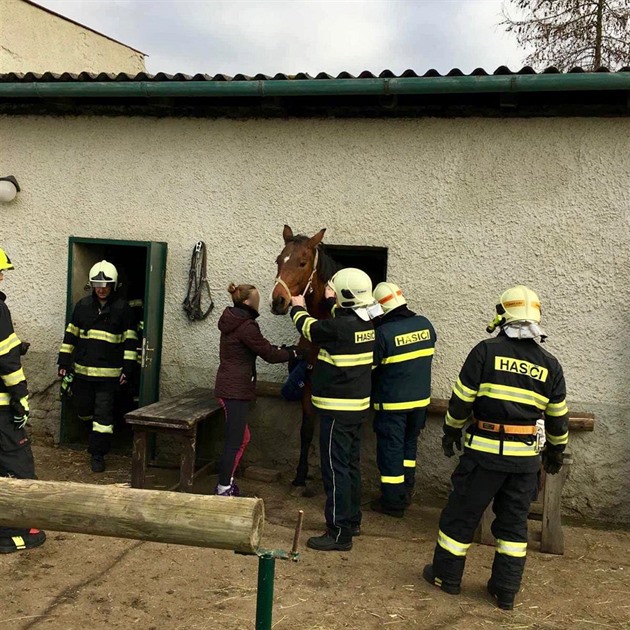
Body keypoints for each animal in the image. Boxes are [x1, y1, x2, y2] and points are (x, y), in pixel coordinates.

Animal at [270, 225, 340, 496]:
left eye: (302, 263)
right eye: (279, 260)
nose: (278, 301)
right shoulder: (308, 383)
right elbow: (307, 430)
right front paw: (300, 475)